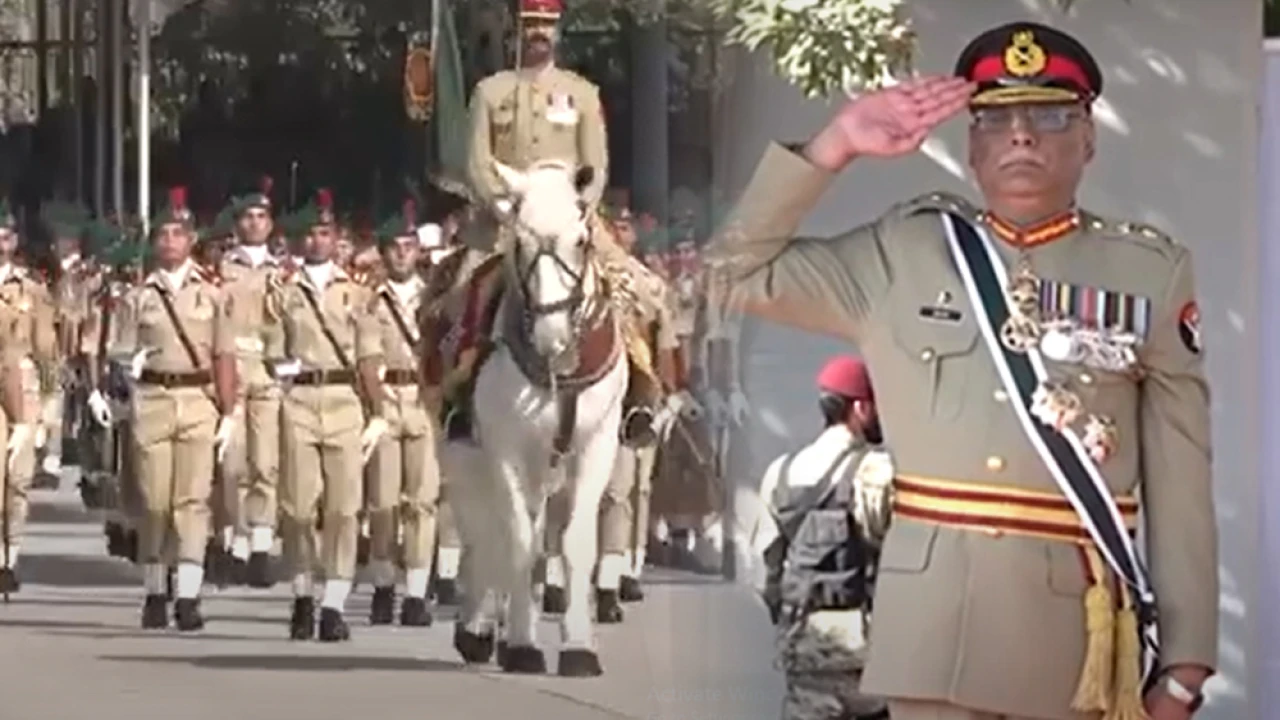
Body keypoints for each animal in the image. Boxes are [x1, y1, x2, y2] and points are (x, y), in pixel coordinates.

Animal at [450, 156, 629, 671]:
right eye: (519, 243)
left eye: (581, 240)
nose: (553, 336)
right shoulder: (504, 448)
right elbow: (518, 542)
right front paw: (522, 644)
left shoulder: (597, 445)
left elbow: (575, 541)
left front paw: (578, 647)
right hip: (467, 459)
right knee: (484, 534)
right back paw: (480, 629)